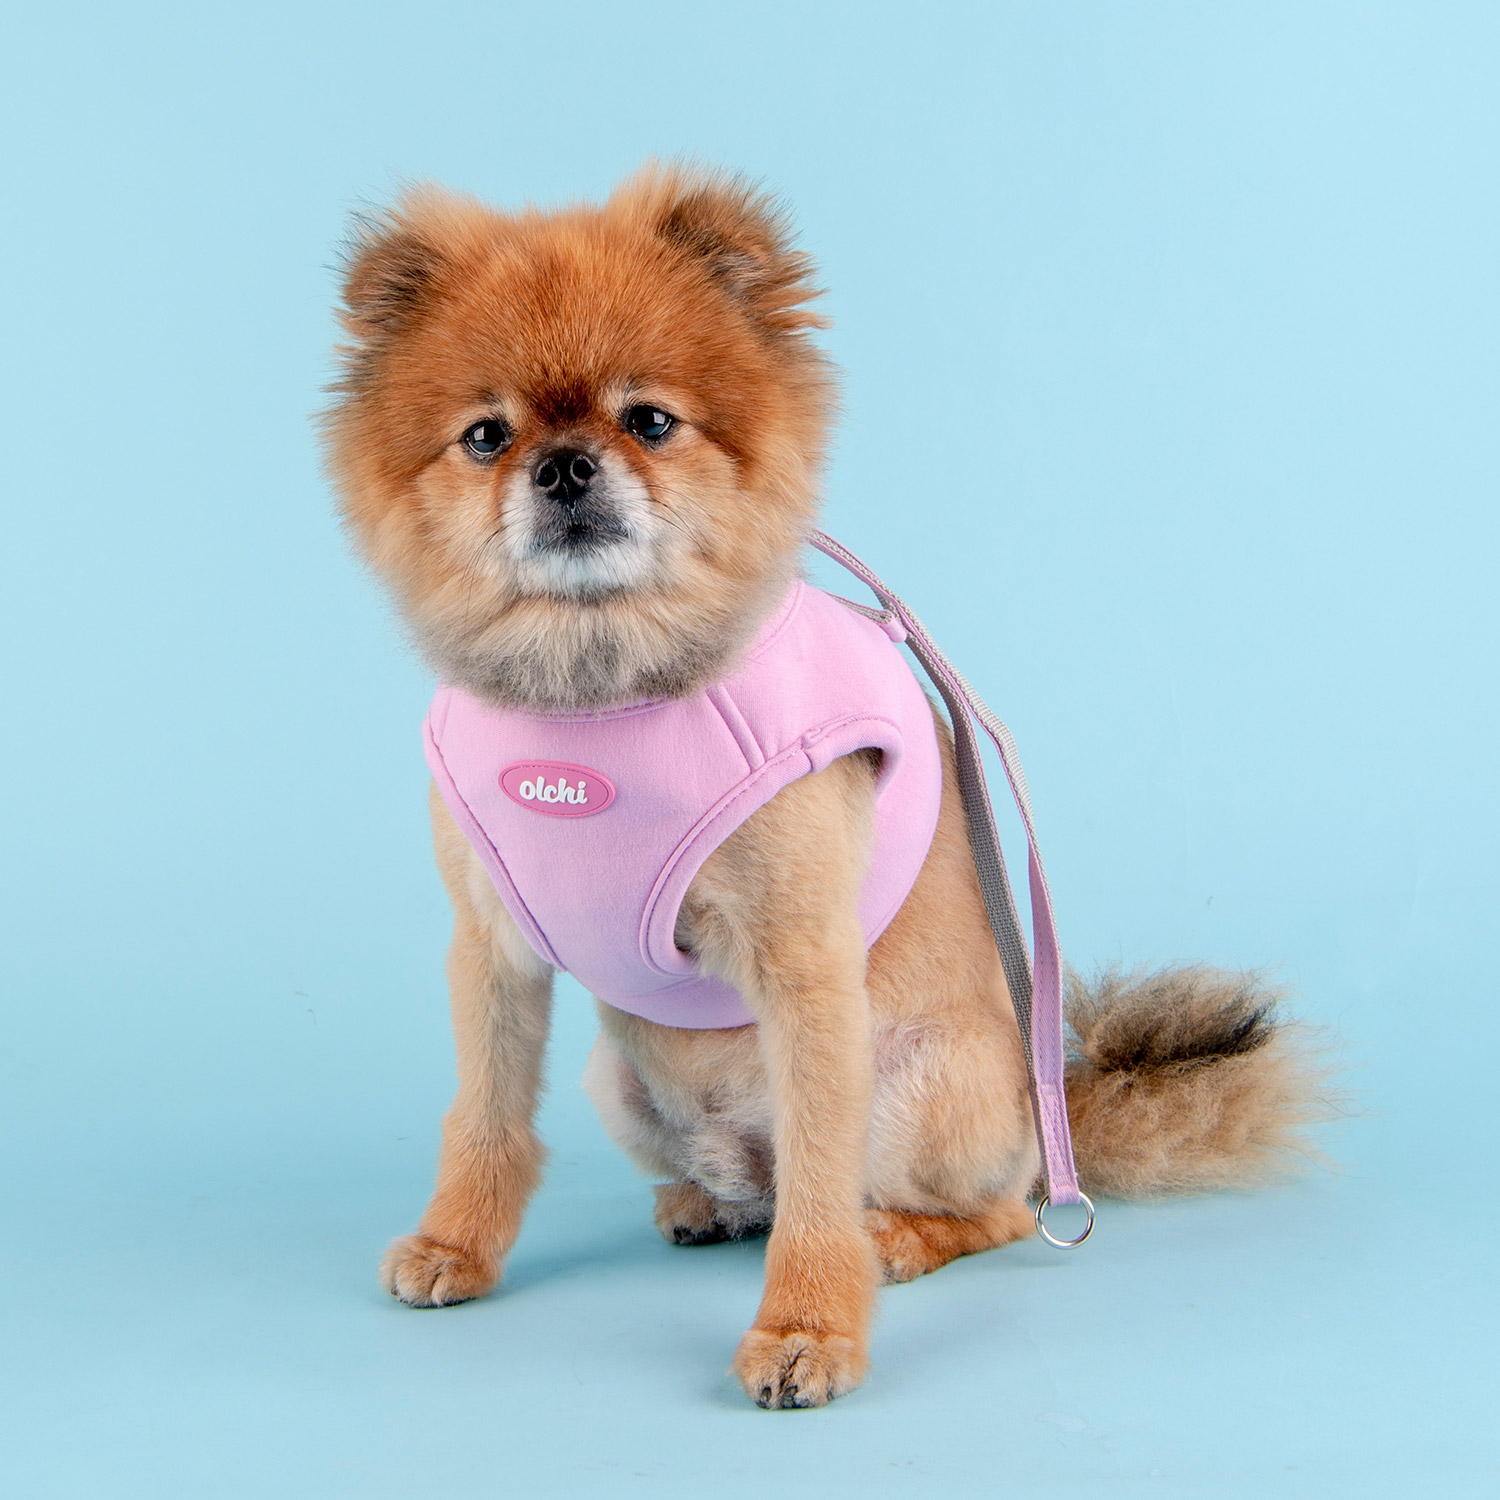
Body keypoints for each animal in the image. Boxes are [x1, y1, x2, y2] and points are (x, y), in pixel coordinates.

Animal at [321, 164, 1326, 1408]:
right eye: (485, 436)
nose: (561, 464)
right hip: (625, 1083)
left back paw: (900, 1236)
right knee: (758, 1186)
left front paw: (807, 1328)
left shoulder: (802, 965)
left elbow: (817, 1190)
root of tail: (1052, 1115)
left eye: (649, 421)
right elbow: (487, 1117)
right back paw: (705, 1201)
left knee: (987, 1209)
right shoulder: (494, 951)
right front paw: (460, 1241)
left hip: (924, 1089)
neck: (598, 691)